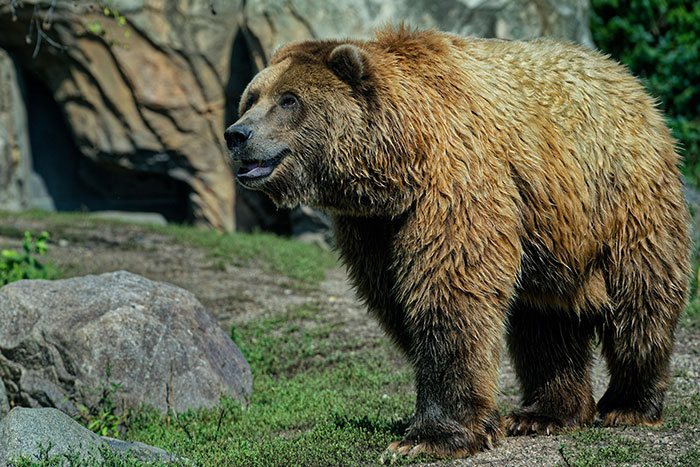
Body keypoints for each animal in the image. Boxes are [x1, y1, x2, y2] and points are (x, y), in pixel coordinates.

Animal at [224, 26, 690, 459]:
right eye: (252, 97)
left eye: (288, 99)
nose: (237, 135)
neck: (400, 163)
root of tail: (628, 79)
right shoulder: (374, 227)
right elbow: (398, 300)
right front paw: (478, 423)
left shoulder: (454, 186)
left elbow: (449, 295)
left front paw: (427, 438)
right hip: (551, 236)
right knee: (545, 322)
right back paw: (544, 414)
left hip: (622, 197)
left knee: (640, 302)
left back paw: (628, 405)